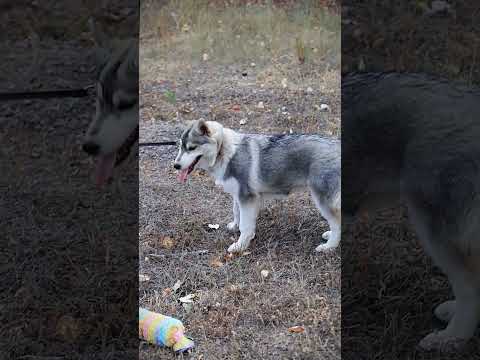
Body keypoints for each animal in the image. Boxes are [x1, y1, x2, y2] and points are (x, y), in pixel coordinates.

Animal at [174, 120, 340, 253]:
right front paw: (235, 227)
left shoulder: (247, 197)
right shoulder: (239, 196)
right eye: (180, 147)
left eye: (191, 148)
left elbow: (245, 225)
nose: (175, 166)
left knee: (337, 224)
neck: (224, 151)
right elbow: (237, 213)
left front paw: (240, 246)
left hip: (323, 200)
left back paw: (329, 246)